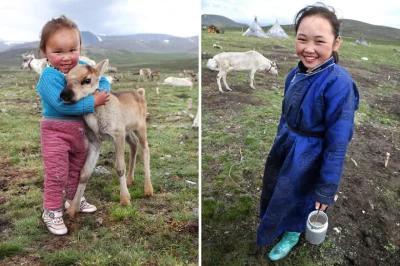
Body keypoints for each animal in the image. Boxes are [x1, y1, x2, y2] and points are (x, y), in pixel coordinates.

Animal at [59, 59, 153, 217]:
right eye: (65, 80)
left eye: (87, 79)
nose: (64, 94)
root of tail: (140, 93)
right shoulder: (95, 141)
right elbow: (84, 172)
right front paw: (72, 209)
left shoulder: (117, 136)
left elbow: (120, 167)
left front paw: (125, 199)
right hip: (128, 131)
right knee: (134, 144)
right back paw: (130, 180)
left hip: (140, 127)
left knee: (145, 149)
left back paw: (148, 189)